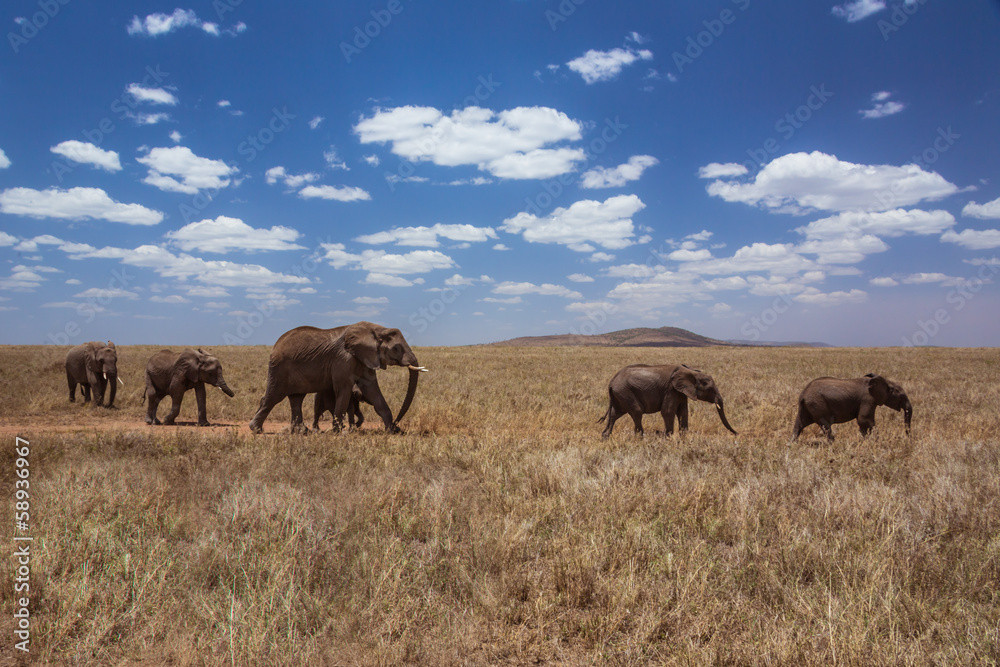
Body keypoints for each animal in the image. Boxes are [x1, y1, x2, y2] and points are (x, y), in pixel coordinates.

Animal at [250, 320, 426, 436]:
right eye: (396, 348)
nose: (398, 425)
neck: (376, 329)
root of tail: (275, 345)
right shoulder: (343, 359)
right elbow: (344, 390)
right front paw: (339, 432)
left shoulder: (364, 358)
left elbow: (373, 391)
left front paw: (391, 431)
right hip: (280, 368)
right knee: (273, 397)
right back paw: (256, 429)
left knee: (296, 398)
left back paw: (302, 431)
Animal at [596, 362, 740, 440]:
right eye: (710, 389)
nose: (737, 434)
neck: (691, 371)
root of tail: (612, 382)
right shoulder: (671, 390)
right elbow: (668, 412)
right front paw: (668, 439)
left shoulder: (681, 393)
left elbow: (683, 413)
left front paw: (683, 439)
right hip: (625, 392)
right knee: (637, 412)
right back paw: (640, 439)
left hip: (620, 395)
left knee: (614, 414)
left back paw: (605, 438)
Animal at [788, 374, 916, 440]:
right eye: (901, 397)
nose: (909, 439)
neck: (885, 381)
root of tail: (803, 394)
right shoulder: (867, 399)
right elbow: (864, 420)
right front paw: (877, 441)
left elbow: (863, 423)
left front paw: (865, 441)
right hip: (818, 405)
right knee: (826, 426)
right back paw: (833, 444)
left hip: (808, 406)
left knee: (799, 424)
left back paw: (792, 443)